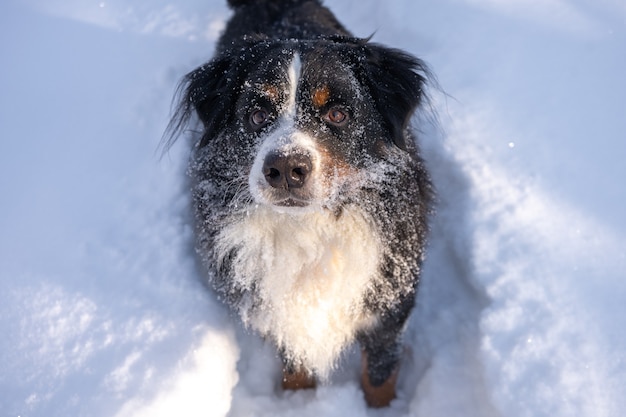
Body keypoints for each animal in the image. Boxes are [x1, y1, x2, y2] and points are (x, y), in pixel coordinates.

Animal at [166, 0, 434, 404]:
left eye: (338, 113)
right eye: (257, 114)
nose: (286, 168)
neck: (312, 228)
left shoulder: (389, 307)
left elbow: (379, 377)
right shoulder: (280, 311)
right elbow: (295, 368)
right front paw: (297, 404)